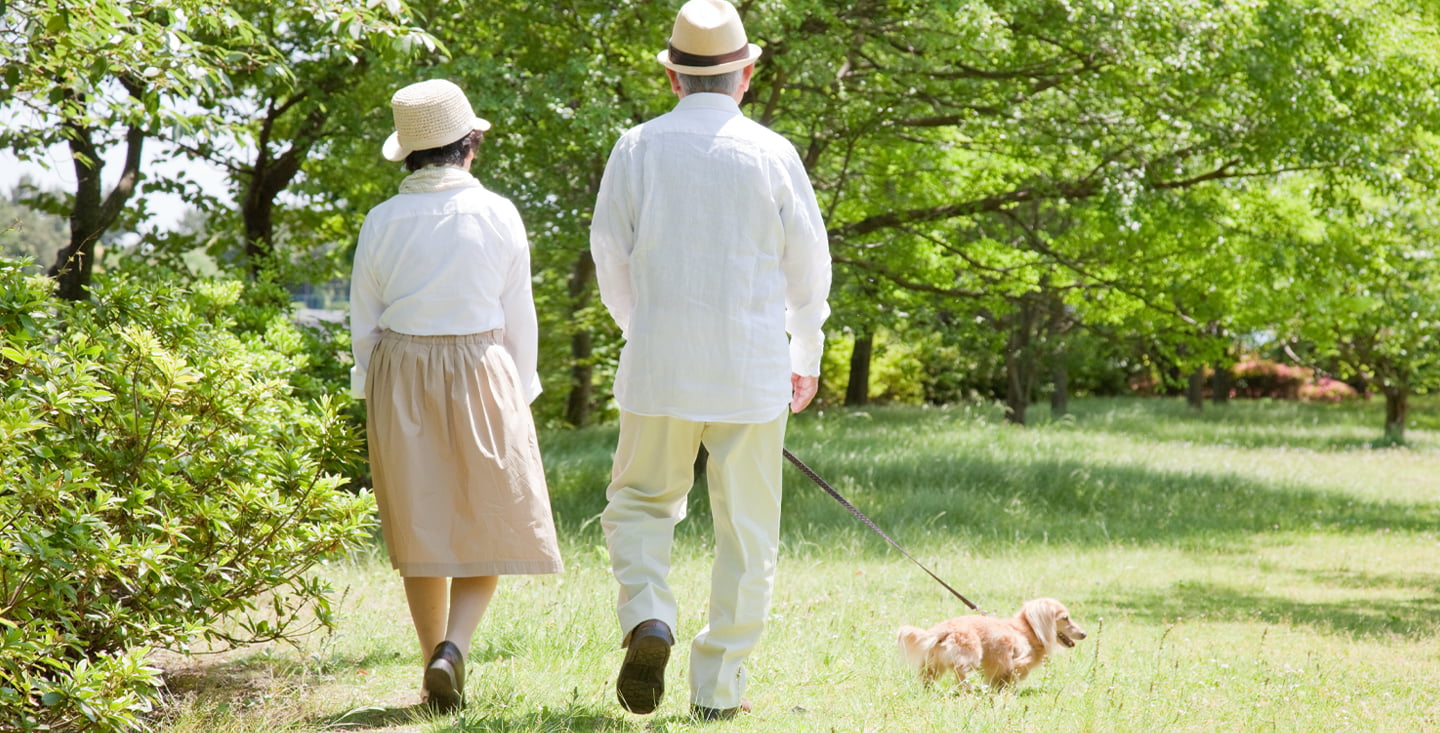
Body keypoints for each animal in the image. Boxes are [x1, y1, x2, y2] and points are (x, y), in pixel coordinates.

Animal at [892, 596, 1082, 688]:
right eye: (1065, 618)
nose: (1084, 634)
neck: (1028, 631)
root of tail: (944, 629)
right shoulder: (1015, 662)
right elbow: (1010, 677)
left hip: (934, 664)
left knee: (928, 677)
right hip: (972, 654)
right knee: (959, 670)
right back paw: (967, 688)